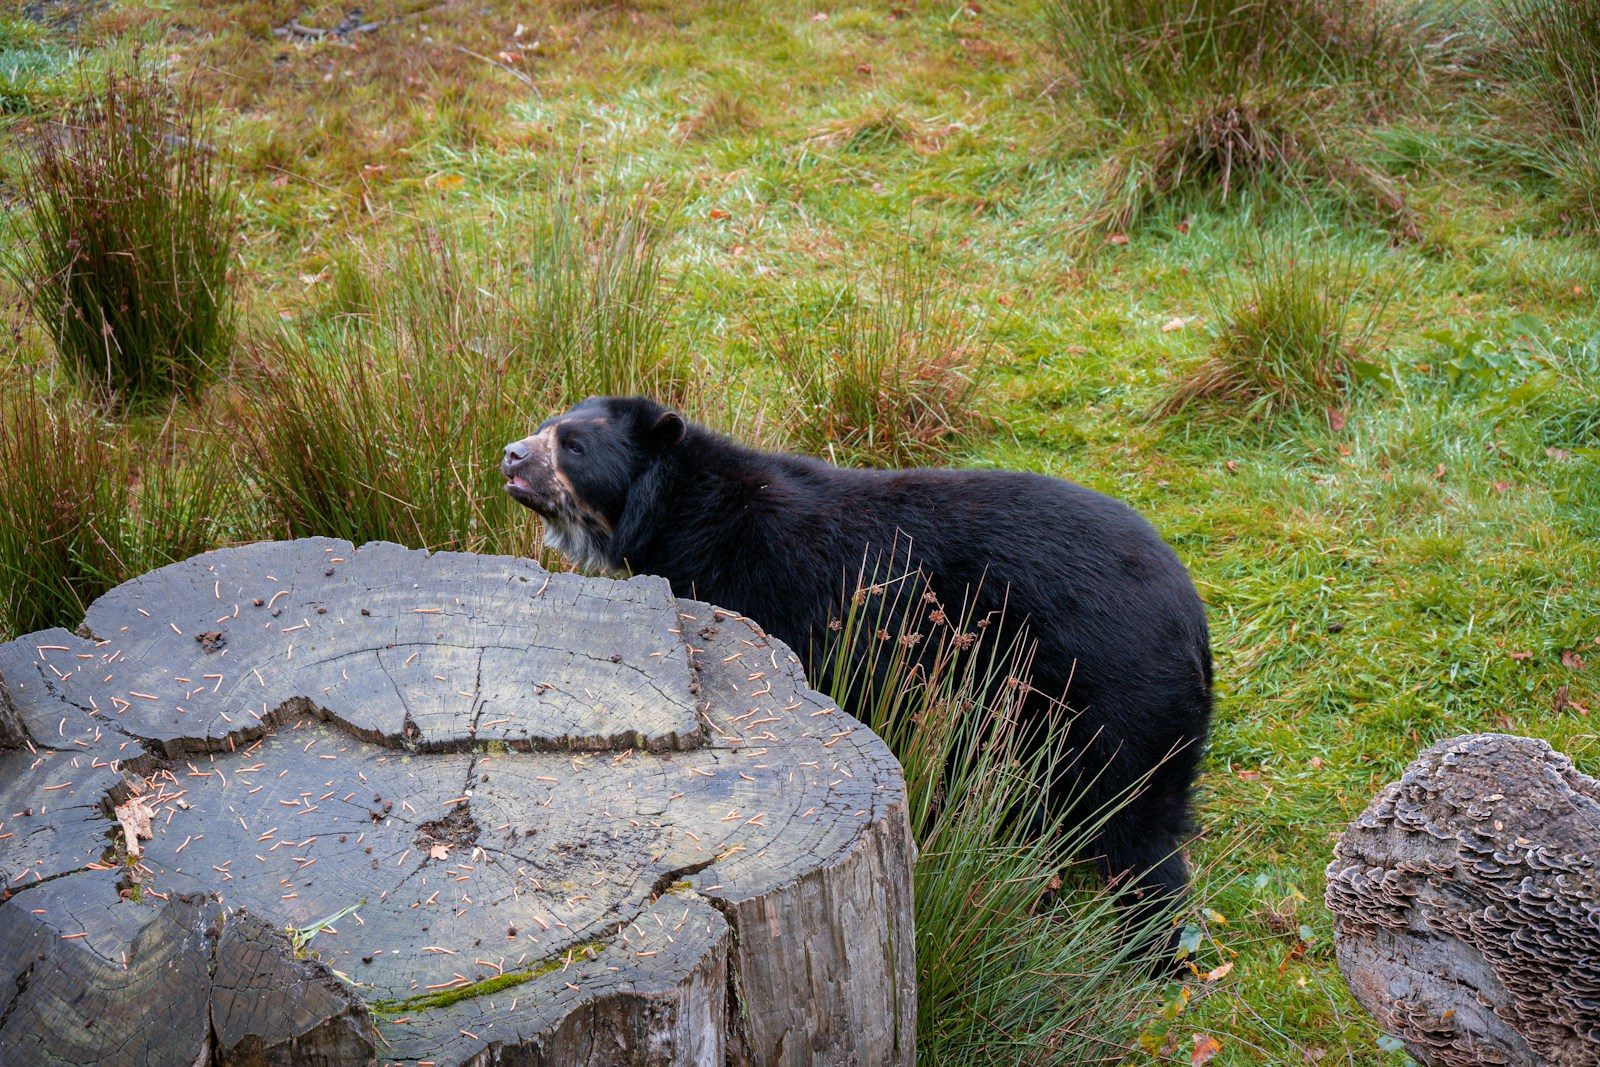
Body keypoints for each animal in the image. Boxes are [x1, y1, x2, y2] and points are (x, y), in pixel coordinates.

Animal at [501, 395, 1212, 955]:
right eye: (543, 427)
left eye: (573, 446)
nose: (510, 456)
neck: (678, 512)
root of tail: (1190, 619)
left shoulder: (764, 589)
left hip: (1104, 699)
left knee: (1132, 831)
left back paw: (1152, 950)